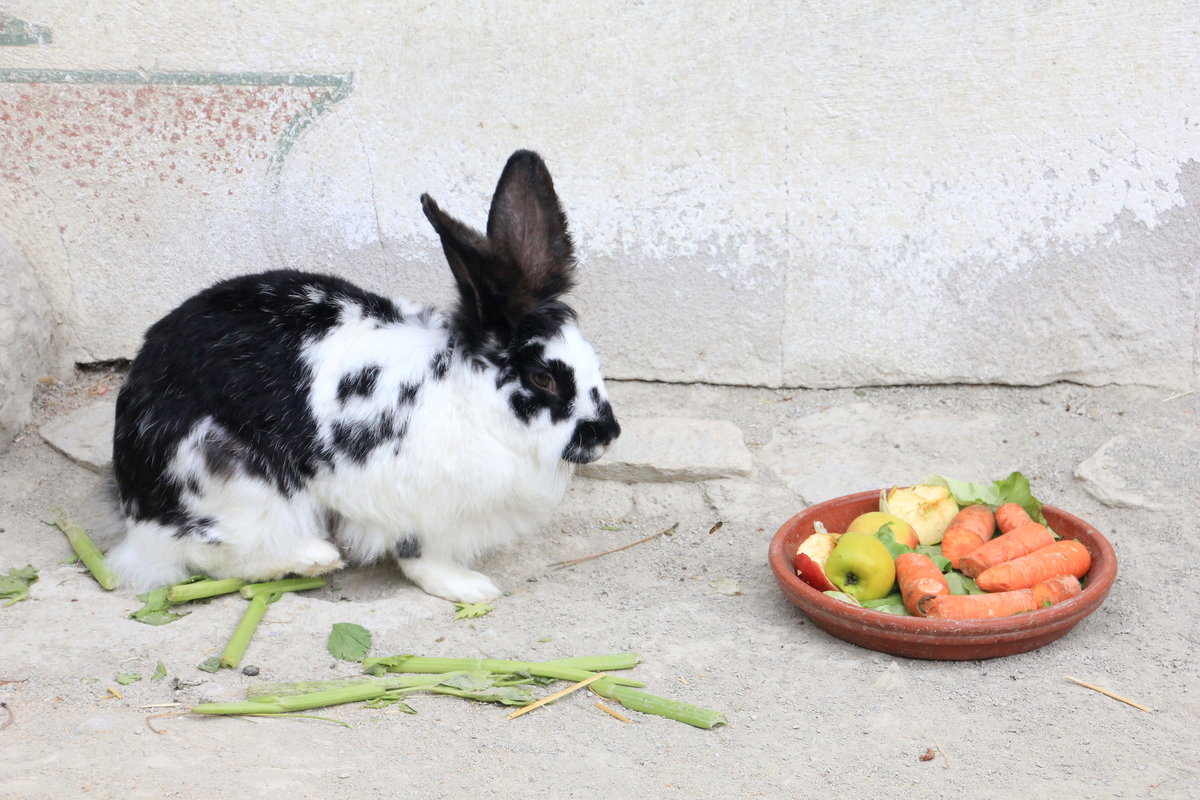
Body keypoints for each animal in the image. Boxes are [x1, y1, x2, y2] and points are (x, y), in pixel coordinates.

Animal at [105, 148, 619, 599]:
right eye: (543, 379)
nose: (608, 435)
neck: (467, 399)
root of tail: (134, 494)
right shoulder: (414, 506)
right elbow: (419, 557)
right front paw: (470, 588)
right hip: (229, 480)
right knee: (213, 553)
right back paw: (315, 557)